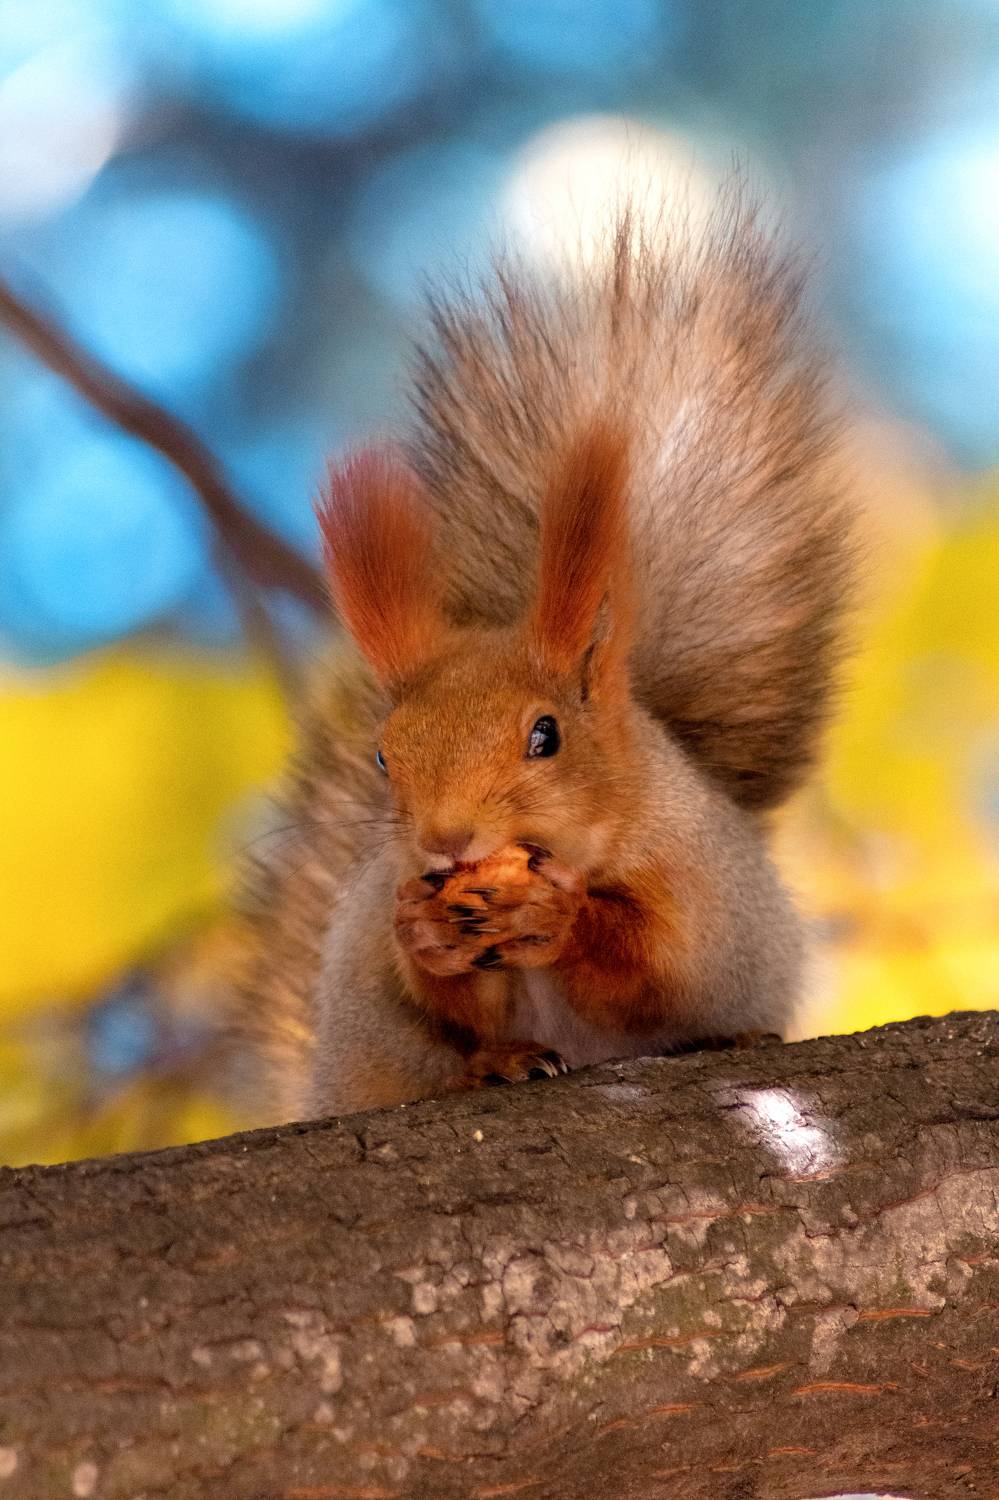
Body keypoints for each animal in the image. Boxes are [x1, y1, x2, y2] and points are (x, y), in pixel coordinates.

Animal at [230, 192, 857, 1124]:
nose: (447, 840)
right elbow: (446, 993)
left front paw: (560, 922)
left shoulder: (697, 890)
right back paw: (495, 1064)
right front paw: (426, 935)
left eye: (546, 736)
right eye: (383, 756)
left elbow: (649, 969)